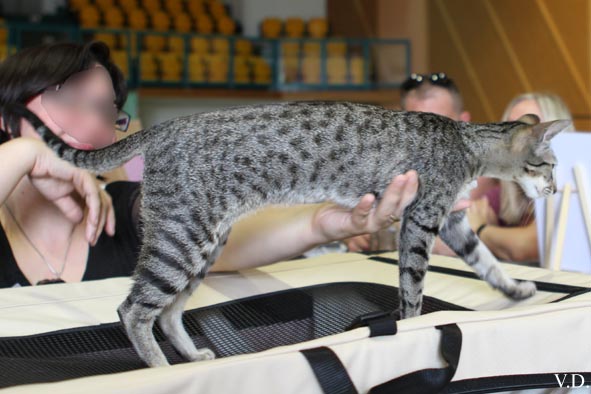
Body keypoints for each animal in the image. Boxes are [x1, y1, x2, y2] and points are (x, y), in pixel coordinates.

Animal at [12, 101, 568, 366]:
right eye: (549, 165)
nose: (559, 188)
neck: (466, 144)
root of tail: (164, 128)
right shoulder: (423, 218)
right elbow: (412, 287)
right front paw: (412, 327)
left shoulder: (451, 220)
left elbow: (486, 262)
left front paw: (518, 288)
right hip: (183, 239)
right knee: (133, 309)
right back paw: (161, 368)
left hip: (202, 243)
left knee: (167, 313)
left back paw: (191, 356)